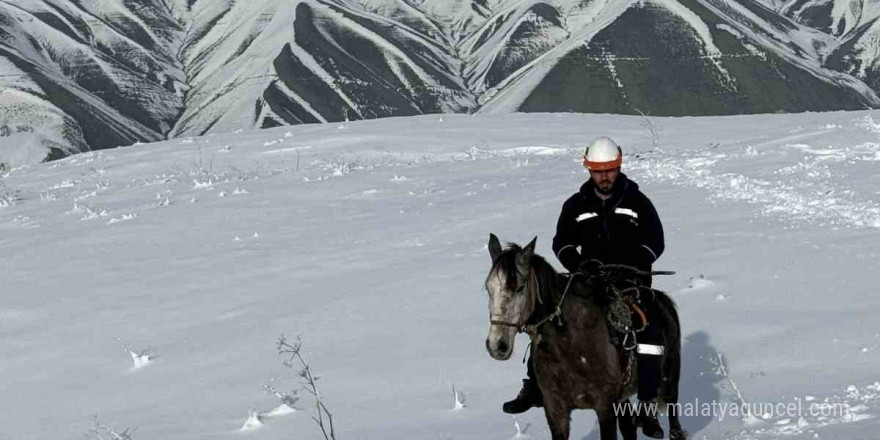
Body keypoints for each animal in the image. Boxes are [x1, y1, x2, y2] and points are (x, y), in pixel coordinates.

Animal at [482, 235, 688, 440]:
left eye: (520, 288)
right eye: (488, 288)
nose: (497, 346)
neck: (570, 345)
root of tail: (665, 301)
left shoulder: (605, 405)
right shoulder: (555, 409)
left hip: (670, 380)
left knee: (672, 416)